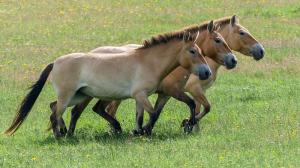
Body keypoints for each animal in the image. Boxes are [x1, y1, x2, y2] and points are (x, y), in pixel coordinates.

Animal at [4, 30, 211, 138]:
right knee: (55, 113)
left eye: (200, 51)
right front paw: (145, 131)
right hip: (67, 96)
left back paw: (65, 132)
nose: (207, 72)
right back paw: (59, 135)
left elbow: (140, 116)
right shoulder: (141, 94)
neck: (147, 61)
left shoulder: (139, 97)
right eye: (193, 51)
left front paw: (138, 132)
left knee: (54, 108)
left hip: (78, 95)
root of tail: (55, 62)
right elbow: (153, 113)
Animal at [65, 19, 237, 135]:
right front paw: (187, 123)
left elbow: (158, 111)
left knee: (97, 109)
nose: (233, 60)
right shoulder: (173, 91)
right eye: (218, 40)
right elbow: (192, 104)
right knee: (80, 111)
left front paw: (145, 129)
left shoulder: (164, 94)